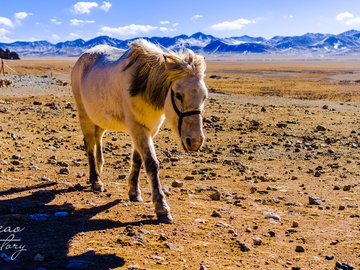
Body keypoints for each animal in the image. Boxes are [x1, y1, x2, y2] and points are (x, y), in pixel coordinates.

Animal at [71, 38, 208, 224]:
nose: (194, 142)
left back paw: (97, 172)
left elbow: (137, 159)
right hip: (84, 114)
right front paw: (162, 208)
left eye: (204, 96)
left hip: (98, 118)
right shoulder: (137, 128)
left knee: (97, 139)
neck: (143, 85)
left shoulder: (149, 129)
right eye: (178, 95)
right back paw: (96, 181)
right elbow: (151, 163)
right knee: (89, 146)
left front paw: (134, 192)